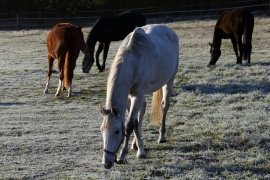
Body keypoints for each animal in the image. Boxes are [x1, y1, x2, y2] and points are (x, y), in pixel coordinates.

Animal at [99, 23, 179, 169]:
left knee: (164, 106)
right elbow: (135, 121)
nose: (106, 163)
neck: (134, 59)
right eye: (102, 130)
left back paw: (161, 136)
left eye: (117, 131)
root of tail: (169, 30)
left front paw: (123, 156)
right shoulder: (129, 97)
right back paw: (136, 144)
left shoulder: (138, 94)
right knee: (143, 109)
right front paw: (139, 147)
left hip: (169, 81)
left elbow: (129, 125)